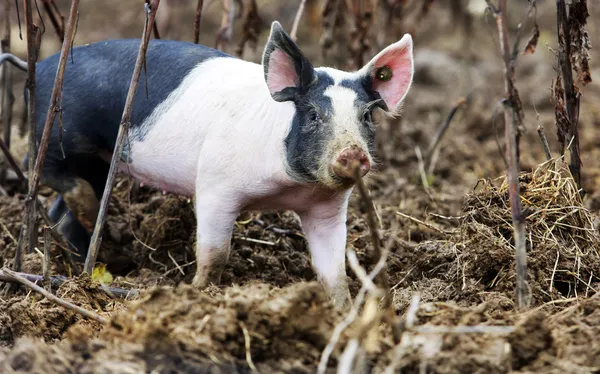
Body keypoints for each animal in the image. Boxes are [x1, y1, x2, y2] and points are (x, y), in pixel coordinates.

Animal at [2, 21, 412, 310]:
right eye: (312, 114)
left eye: (366, 117)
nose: (352, 155)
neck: (290, 187)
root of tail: (40, 65)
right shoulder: (216, 184)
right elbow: (215, 254)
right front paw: (196, 292)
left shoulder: (327, 207)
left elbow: (334, 269)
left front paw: (342, 311)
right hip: (57, 130)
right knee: (35, 165)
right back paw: (88, 225)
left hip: (99, 161)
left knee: (67, 207)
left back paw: (83, 255)